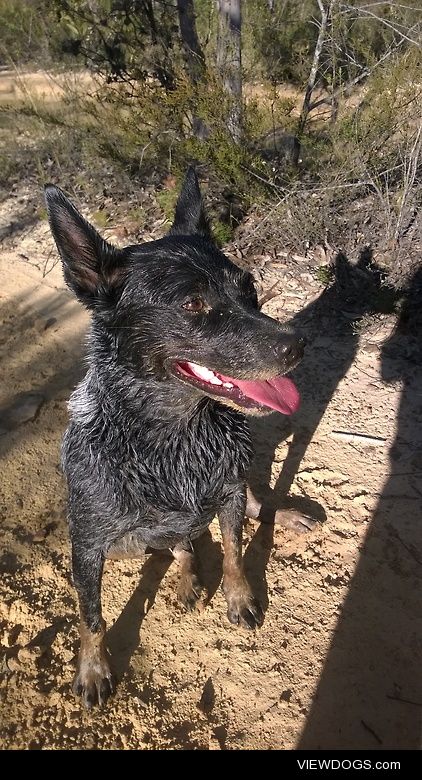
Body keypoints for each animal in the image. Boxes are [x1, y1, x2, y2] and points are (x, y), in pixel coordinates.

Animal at [43, 169, 306, 708]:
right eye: (192, 304)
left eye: (250, 287)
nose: (297, 346)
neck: (176, 436)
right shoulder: (88, 545)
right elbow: (91, 616)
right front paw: (93, 669)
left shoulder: (227, 491)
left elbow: (233, 551)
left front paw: (240, 598)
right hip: (124, 544)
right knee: (181, 546)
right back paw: (187, 582)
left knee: (245, 508)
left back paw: (286, 515)